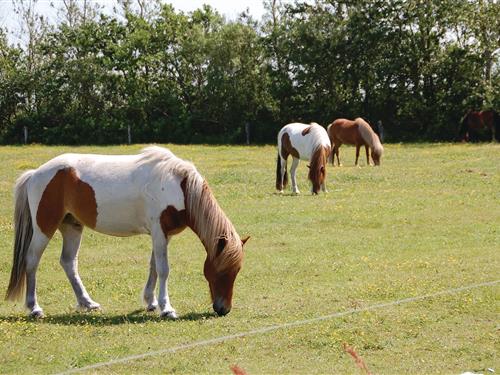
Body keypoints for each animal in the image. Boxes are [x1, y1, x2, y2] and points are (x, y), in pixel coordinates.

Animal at [5, 145, 248, 318]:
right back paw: (34, 308)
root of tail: (36, 173)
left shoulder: (163, 235)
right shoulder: (159, 232)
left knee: (68, 262)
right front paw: (167, 308)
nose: (223, 309)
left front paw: (151, 302)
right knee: (32, 260)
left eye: (237, 270)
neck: (179, 186)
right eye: (223, 270)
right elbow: (163, 269)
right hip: (44, 228)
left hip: (72, 226)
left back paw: (87, 303)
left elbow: (153, 267)